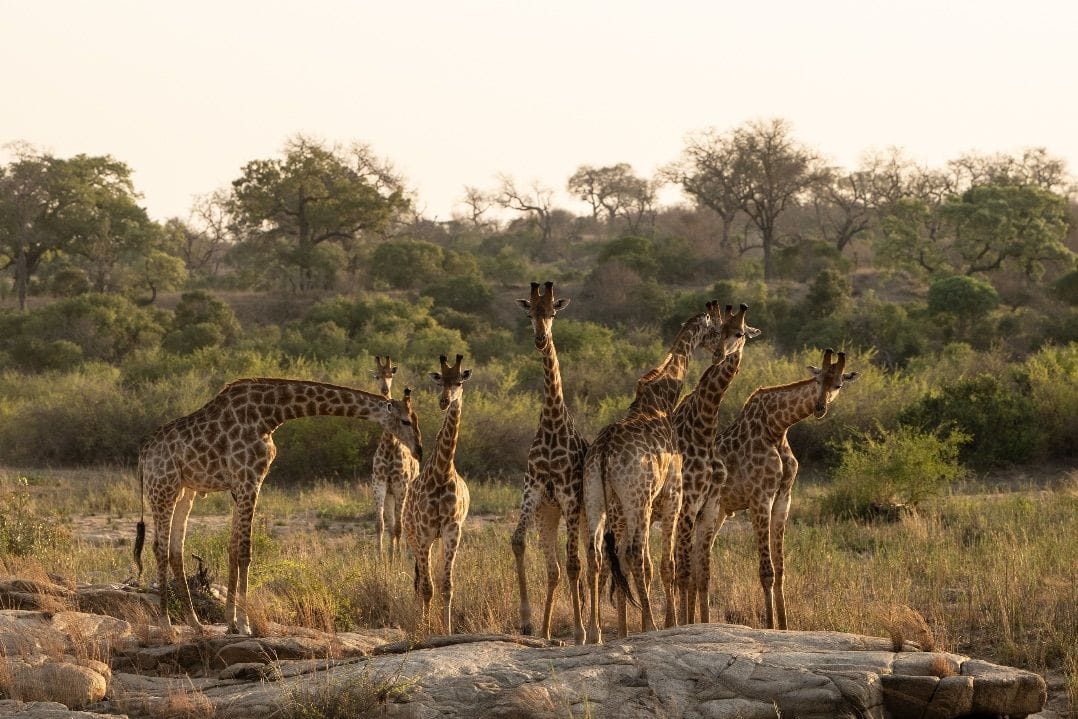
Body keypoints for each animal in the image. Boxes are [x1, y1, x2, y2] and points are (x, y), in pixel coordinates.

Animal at [133, 378, 422, 636]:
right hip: (163, 487)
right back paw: (166, 624)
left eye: (415, 420)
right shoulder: (249, 479)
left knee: (175, 550)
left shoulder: (241, 484)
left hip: (185, 491)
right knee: (159, 548)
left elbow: (232, 548)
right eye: (405, 421)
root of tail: (144, 454)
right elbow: (245, 551)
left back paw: (195, 624)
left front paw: (231, 622)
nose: (419, 451)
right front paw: (246, 624)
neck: (271, 414)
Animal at [370, 356, 421, 558]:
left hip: (406, 491)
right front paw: (380, 557)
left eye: (390, 374)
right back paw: (392, 553)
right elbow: (381, 525)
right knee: (392, 524)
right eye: (377, 376)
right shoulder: (380, 484)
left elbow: (399, 527)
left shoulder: (401, 485)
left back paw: (403, 552)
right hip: (390, 494)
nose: (385, 390)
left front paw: (398, 557)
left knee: (404, 523)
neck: (390, 446)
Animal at [581, 303, 719, 644]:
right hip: (638, 498)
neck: (661, 400)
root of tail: (604, 452)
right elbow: (666, 563)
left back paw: (595, 635)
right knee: (634, 554)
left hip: (595, 497)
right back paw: (651, 626)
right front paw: (668, 624)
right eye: (715, 328)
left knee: (595, 556)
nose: (719, 351)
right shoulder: (673, 494)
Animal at [697, 348, 860, 628]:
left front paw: (784, 626)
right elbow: (767, 571)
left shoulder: (784, 498)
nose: (820, 408)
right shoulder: (760, 498)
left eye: (838, 384)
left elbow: (781, 569)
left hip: (715, 514)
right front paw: (770, 625)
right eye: (818, 380)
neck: (777, 428)